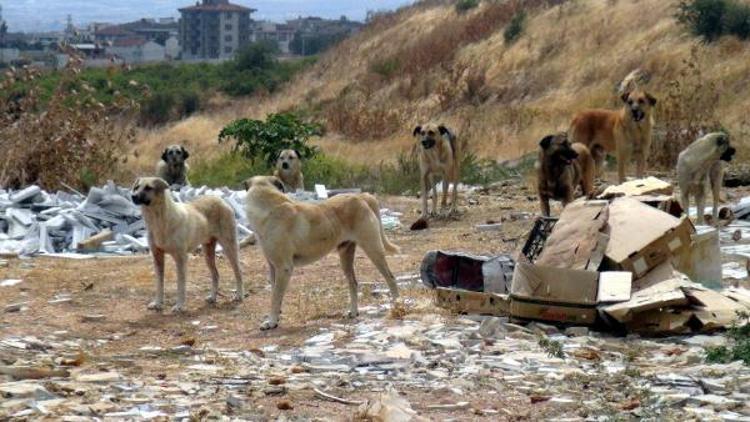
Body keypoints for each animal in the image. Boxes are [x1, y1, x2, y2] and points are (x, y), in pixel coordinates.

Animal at [131, 176, 244, 312]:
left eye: (148, 188)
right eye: (137, 187)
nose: (133, 196)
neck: (159, 220)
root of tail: (220, 199)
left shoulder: (181, 258)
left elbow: (181, 285)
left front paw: (179, 305)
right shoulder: (157, 257)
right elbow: (159, 284)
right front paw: (158, 303)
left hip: (229, 247)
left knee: (238, 272)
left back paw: (239, 295)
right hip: (208, 253)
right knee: (216, 275)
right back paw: (212, 297)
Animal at [245, 175, 400, 330]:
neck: (269, 209)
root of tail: (361, 196)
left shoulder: (284, 268)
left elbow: (276, 297)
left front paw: (271, 321)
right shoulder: (273, 266)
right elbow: (274, 292)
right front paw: (275, 319)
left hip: (373, 249)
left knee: (391, 278)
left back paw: (397, 306)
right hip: (346, 256)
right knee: (353, 283)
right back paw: (353, 312)